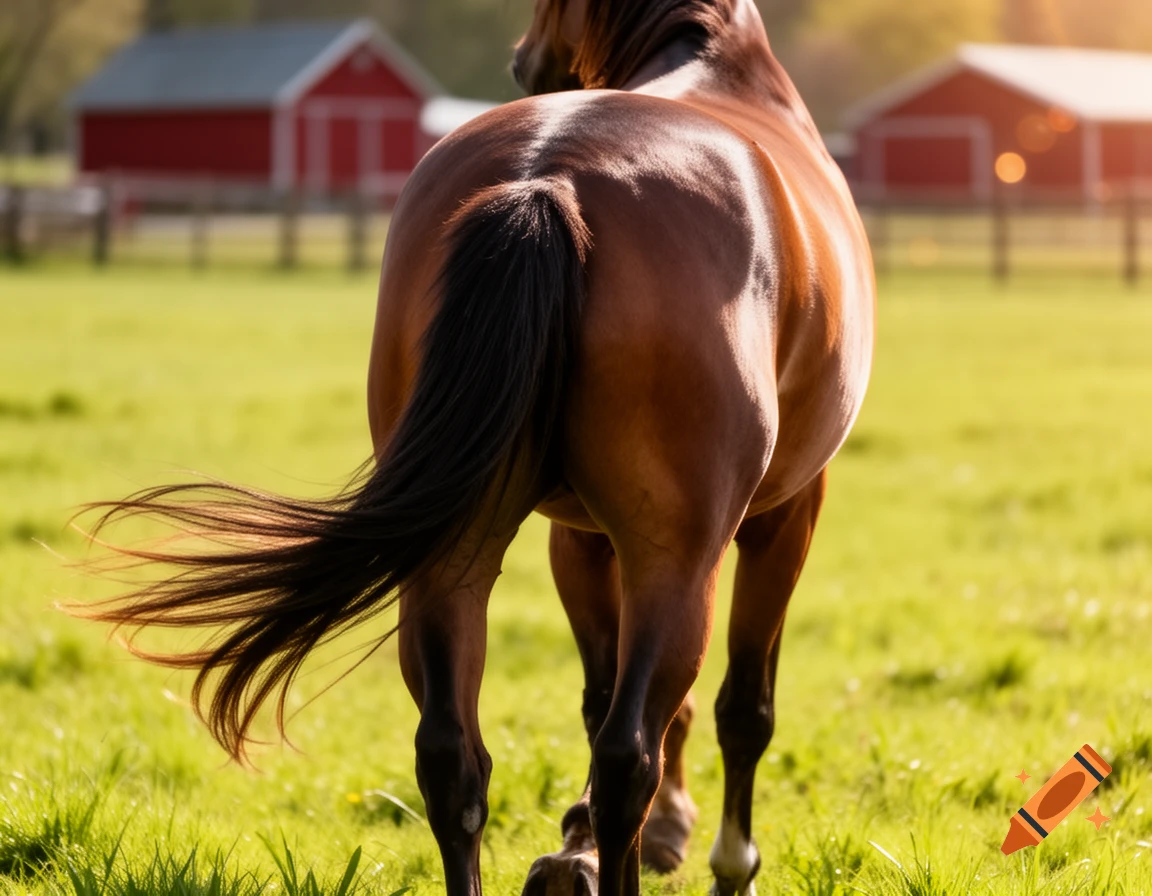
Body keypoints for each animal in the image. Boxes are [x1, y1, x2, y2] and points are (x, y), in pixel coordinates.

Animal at [73, 1, 874, 894]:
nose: (525, 61)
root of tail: (547, 179)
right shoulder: (784, 514)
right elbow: (742, 709)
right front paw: (725, 861)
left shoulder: (581, 535)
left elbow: (607, 696)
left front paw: (587, 847)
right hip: (675, 556)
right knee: (626, 751)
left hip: (452, 554)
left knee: (454, 756)